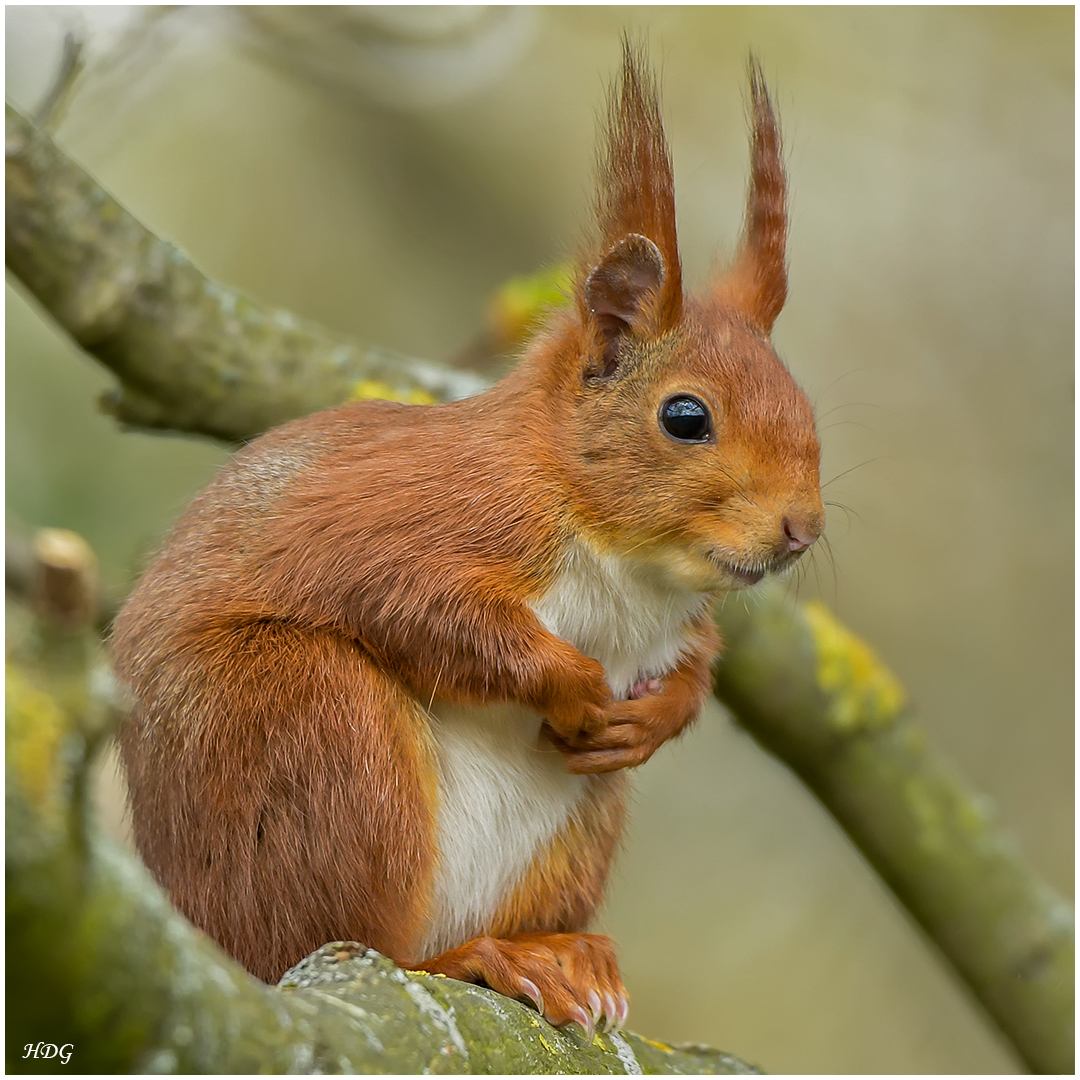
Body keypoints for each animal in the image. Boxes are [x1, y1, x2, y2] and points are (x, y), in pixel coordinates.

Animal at [109, 44, 820, 1036]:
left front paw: (653, 716)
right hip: (305, 726)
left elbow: (698, 662)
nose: (803, 529)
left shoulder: (679, 621)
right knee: (352, 943)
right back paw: (463, 958)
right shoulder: (417, 520)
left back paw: (560, 955)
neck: (627, 565)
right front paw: (575, 683)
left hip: (572, 828)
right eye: (686, 417)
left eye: (806, 408)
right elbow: (425, 609)